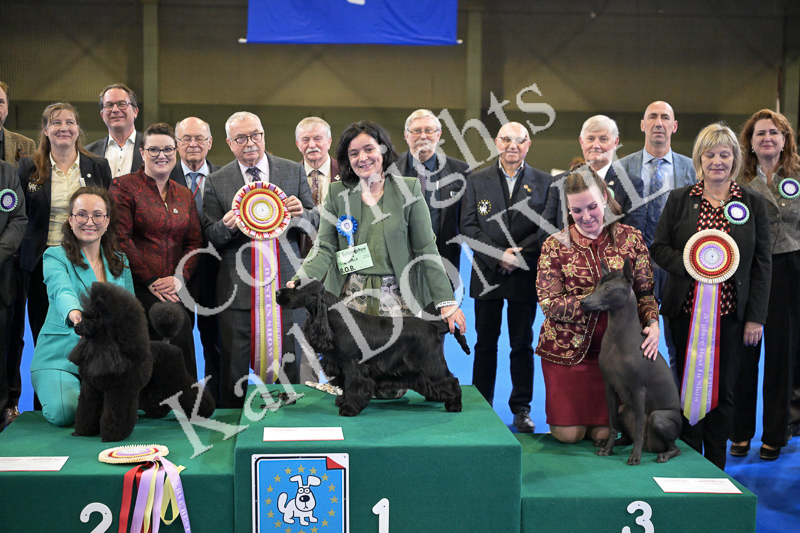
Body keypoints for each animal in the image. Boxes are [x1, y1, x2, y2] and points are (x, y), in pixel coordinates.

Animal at [70, 282, 215, 441]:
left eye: (94, 318)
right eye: (82, 317)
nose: (76, 326)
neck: (103, 350)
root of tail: (167, 342)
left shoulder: (119, 390)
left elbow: (115, 414)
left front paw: (112, 435)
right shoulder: (90, 389)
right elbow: (86, 410)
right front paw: (82, 431)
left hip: (176, 377)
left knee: (189, 390)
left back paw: (203, 412)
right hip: (156, 382)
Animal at [275, 279, 465, 416]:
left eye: (297, 288)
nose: (277, 292)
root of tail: (434, 326)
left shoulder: (353, 366)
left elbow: (353, 385)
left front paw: (349, 409)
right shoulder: (341, 366)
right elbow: (346, 386)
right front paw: (343, 402)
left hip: (430, 364)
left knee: (451, 381)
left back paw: (454, 405)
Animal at [579, 260, 682, 465]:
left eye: (608, 289)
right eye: (597, 286)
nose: (583, 302)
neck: (617, 339)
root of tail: (652, 447)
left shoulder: (639, 390)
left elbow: (640, 429)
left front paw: (635, 456)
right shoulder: (609, 387)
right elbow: (612, 425)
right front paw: (608, 448)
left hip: (658, 418)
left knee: (674, 447)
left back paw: (663, 454)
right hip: (624, 409)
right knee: (627, 436)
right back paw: (604, 443)